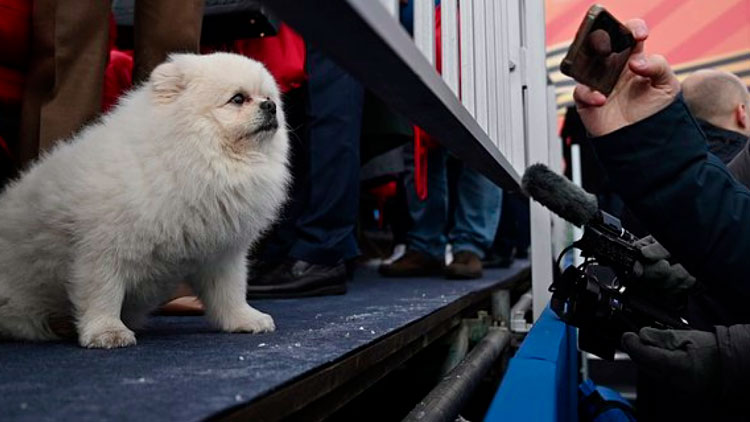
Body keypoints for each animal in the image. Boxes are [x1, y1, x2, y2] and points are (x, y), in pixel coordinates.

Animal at [0, 52, 290, 348]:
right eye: (238, 99)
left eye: (269, 97)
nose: (270, 106)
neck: (190, 158)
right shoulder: (102, 250)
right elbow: (103, 294)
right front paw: (108, 332)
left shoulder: (221, 252)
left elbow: (230, 293)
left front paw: (244, 320)